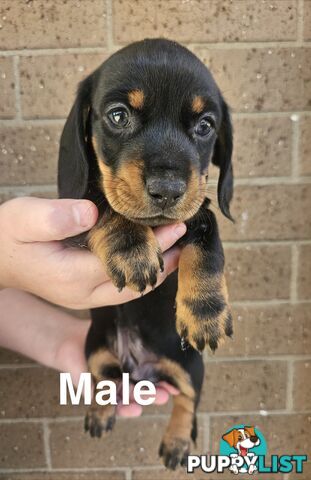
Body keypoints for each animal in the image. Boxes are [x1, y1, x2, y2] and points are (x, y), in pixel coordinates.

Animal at [58, 39, 234, 470]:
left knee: (187, 401)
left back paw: (177, 443)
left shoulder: (199, 211)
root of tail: (141, 370)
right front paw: (131, 247)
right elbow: (105, 202)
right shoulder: (82, 206)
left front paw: (205, 311)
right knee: (104, 381)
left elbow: (209, 245)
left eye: (205, 126)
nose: (168, 189)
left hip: (191, 366)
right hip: (95, 350)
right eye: (118, 115)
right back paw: (100, 411)